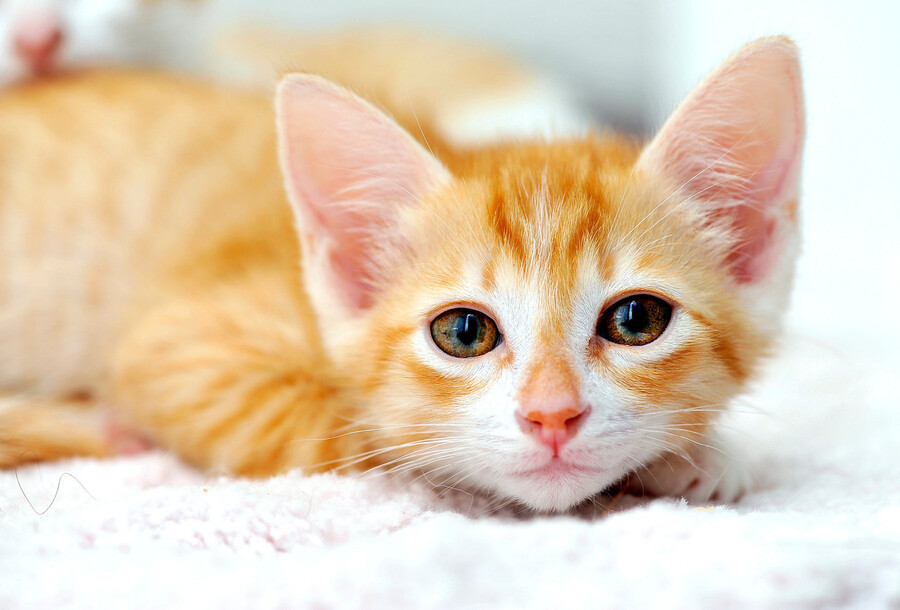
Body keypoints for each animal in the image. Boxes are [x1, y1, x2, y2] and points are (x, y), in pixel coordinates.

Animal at [0, 38, 800, 510]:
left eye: (637, 320)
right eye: (464, 332)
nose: (552, 416)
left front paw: (688, 452)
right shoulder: (182, 355)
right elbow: (369, 442)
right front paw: (686, 458)